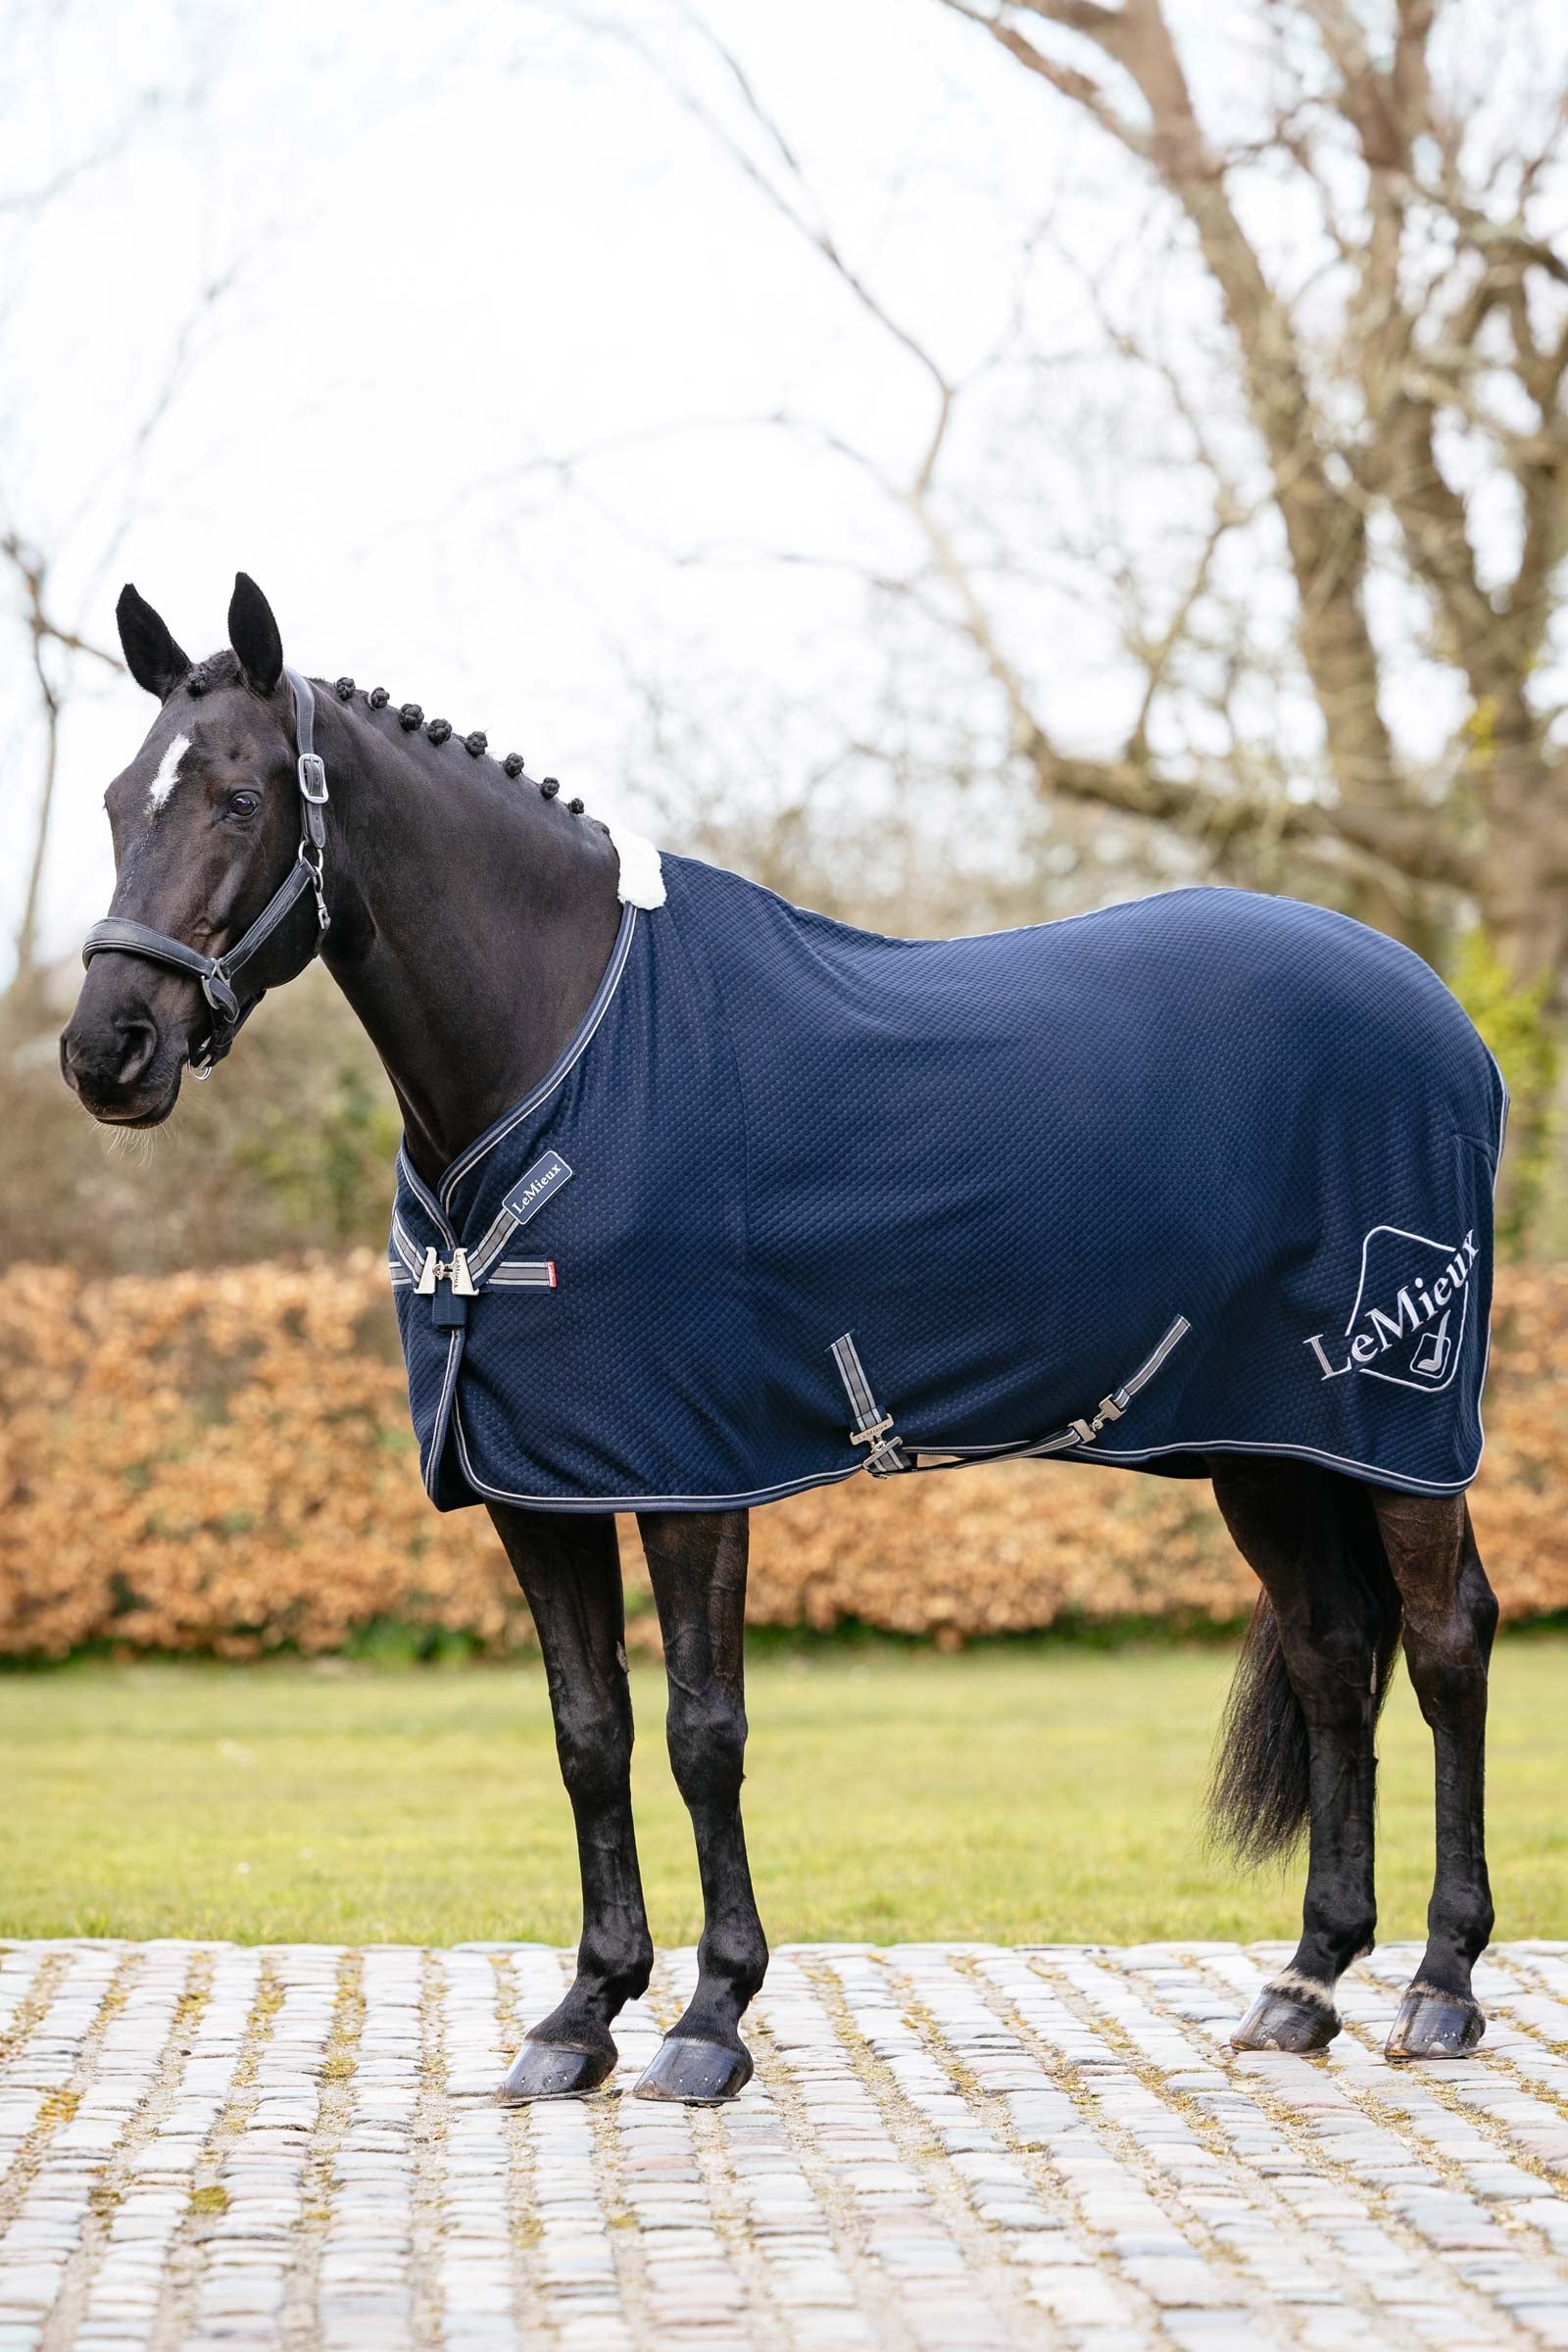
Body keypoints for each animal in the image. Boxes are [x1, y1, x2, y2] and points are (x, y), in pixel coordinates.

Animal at [61, 572, 1505, 2103]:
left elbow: (703, 1732)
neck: (560, 1050)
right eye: (117, 801)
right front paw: (582, 2014)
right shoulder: (536, 1485)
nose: (107, 1050)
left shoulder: (690, 1474)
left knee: (1441, 1643)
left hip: (1401, 1427)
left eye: (237, 797)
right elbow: (589, 1733)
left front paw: (708, 2020)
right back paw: (1306, 1983)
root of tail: (1444, 1025)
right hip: (1273, 1448)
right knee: (1331, 1651)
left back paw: (1441, 1986)